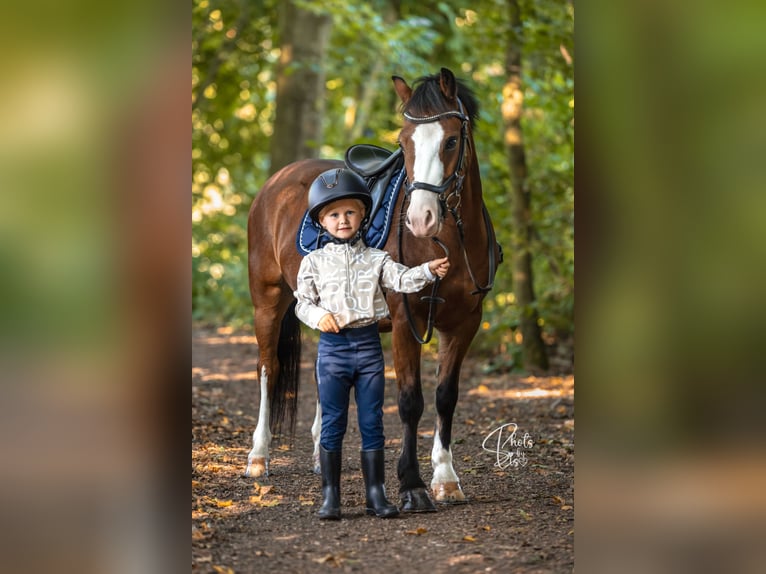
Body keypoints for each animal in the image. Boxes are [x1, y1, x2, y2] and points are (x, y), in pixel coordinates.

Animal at [245, 67, 500, 512]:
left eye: (451, 140)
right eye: (403, 141)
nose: (421, 218)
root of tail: (276, 181)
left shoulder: (466, 323)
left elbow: (445, 396)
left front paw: (446, 479)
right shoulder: (405, 322)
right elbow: (411, 401)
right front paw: (412, 486)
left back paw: (319, 452)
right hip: (267, 301)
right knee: (267, 369)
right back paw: (258, 456)